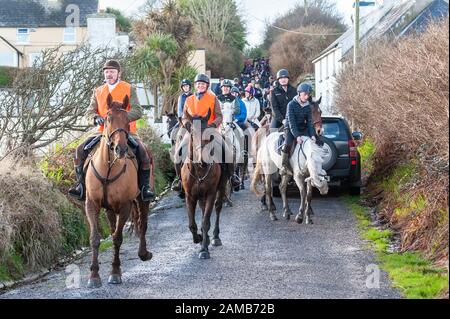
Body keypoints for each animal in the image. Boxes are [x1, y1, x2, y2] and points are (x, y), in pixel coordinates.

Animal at [84, 94, 153, 288]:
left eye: (127, 119)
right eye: (107, 119)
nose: (120, 149)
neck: (108, 168)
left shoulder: (125, 206)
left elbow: (117, 238)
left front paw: (115, 273)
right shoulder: (91, 204)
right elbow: (95, 238)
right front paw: (94, 276)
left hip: (142, 200)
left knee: (142, 224)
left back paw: (143, 253)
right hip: (109, 209)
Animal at [180, 110, 227, 260]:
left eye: (210, 134)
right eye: (192, 133)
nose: (204, 160)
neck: (200, 170)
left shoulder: (211, 194)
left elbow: (206, 222)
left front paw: (204, 250)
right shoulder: (190, 196)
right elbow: (192, 224)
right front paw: (199, 238)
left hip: (221, 187)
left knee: (218, 208)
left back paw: (215, 237)